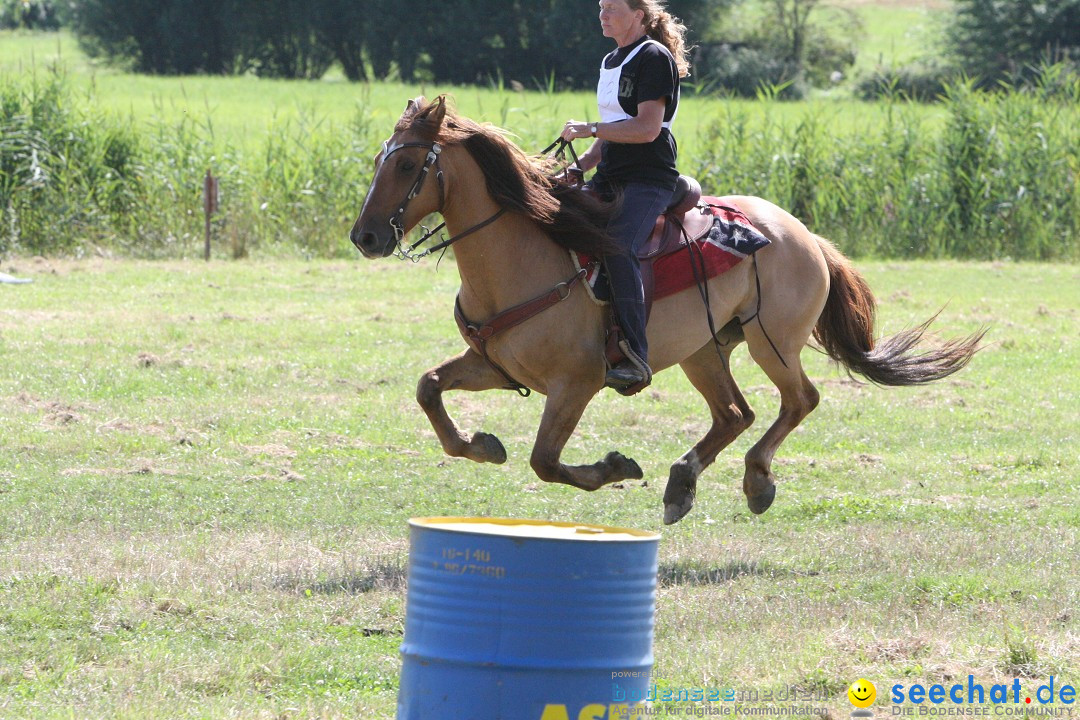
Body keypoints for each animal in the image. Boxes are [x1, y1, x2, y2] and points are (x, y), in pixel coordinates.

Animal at [349, 94, 984, 524]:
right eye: (380, 159)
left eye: (406, 166)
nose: (365, 237)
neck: (525, 255)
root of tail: (802, 233)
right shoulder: (496, 366)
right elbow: (430, 388)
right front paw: (480, 445)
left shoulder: (576, 383)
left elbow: (545, 461)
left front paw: (615, 468)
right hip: (703, 349)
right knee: (734, 414)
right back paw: (682, 483)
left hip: (771, 341)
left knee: (798, 400)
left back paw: (756, 482)